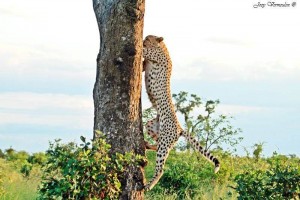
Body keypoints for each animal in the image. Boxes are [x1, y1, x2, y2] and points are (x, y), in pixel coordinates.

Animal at [142, 35, 221, 191]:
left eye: (149, 37)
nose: (144, 39)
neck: (163, 47)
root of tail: (180, 128)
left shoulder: (151, 55)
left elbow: (142, 51)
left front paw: (139, 44)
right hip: (153, 127)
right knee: (157, 143)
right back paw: (147, 145)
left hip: (165, 140)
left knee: (161, 168)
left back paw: (149, 185)